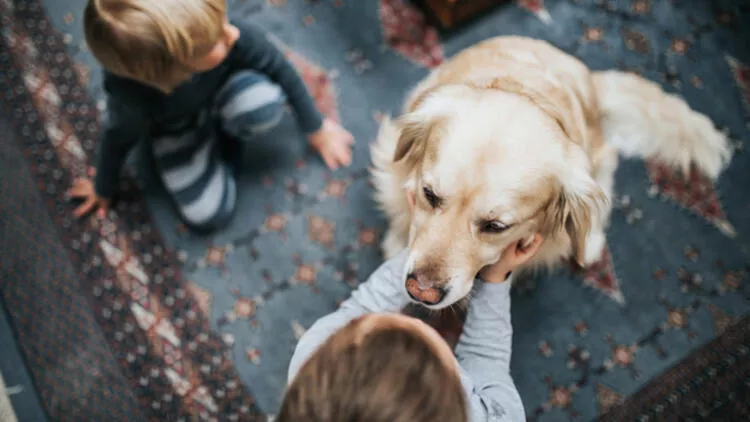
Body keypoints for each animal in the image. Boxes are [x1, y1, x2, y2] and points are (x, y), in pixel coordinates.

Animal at [372, 37, 736, 310]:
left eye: (496, 227)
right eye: (429, 195)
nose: (420, 291)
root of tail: (591, 78)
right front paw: (396, 242)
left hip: (596, 157)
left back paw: (591, 244)